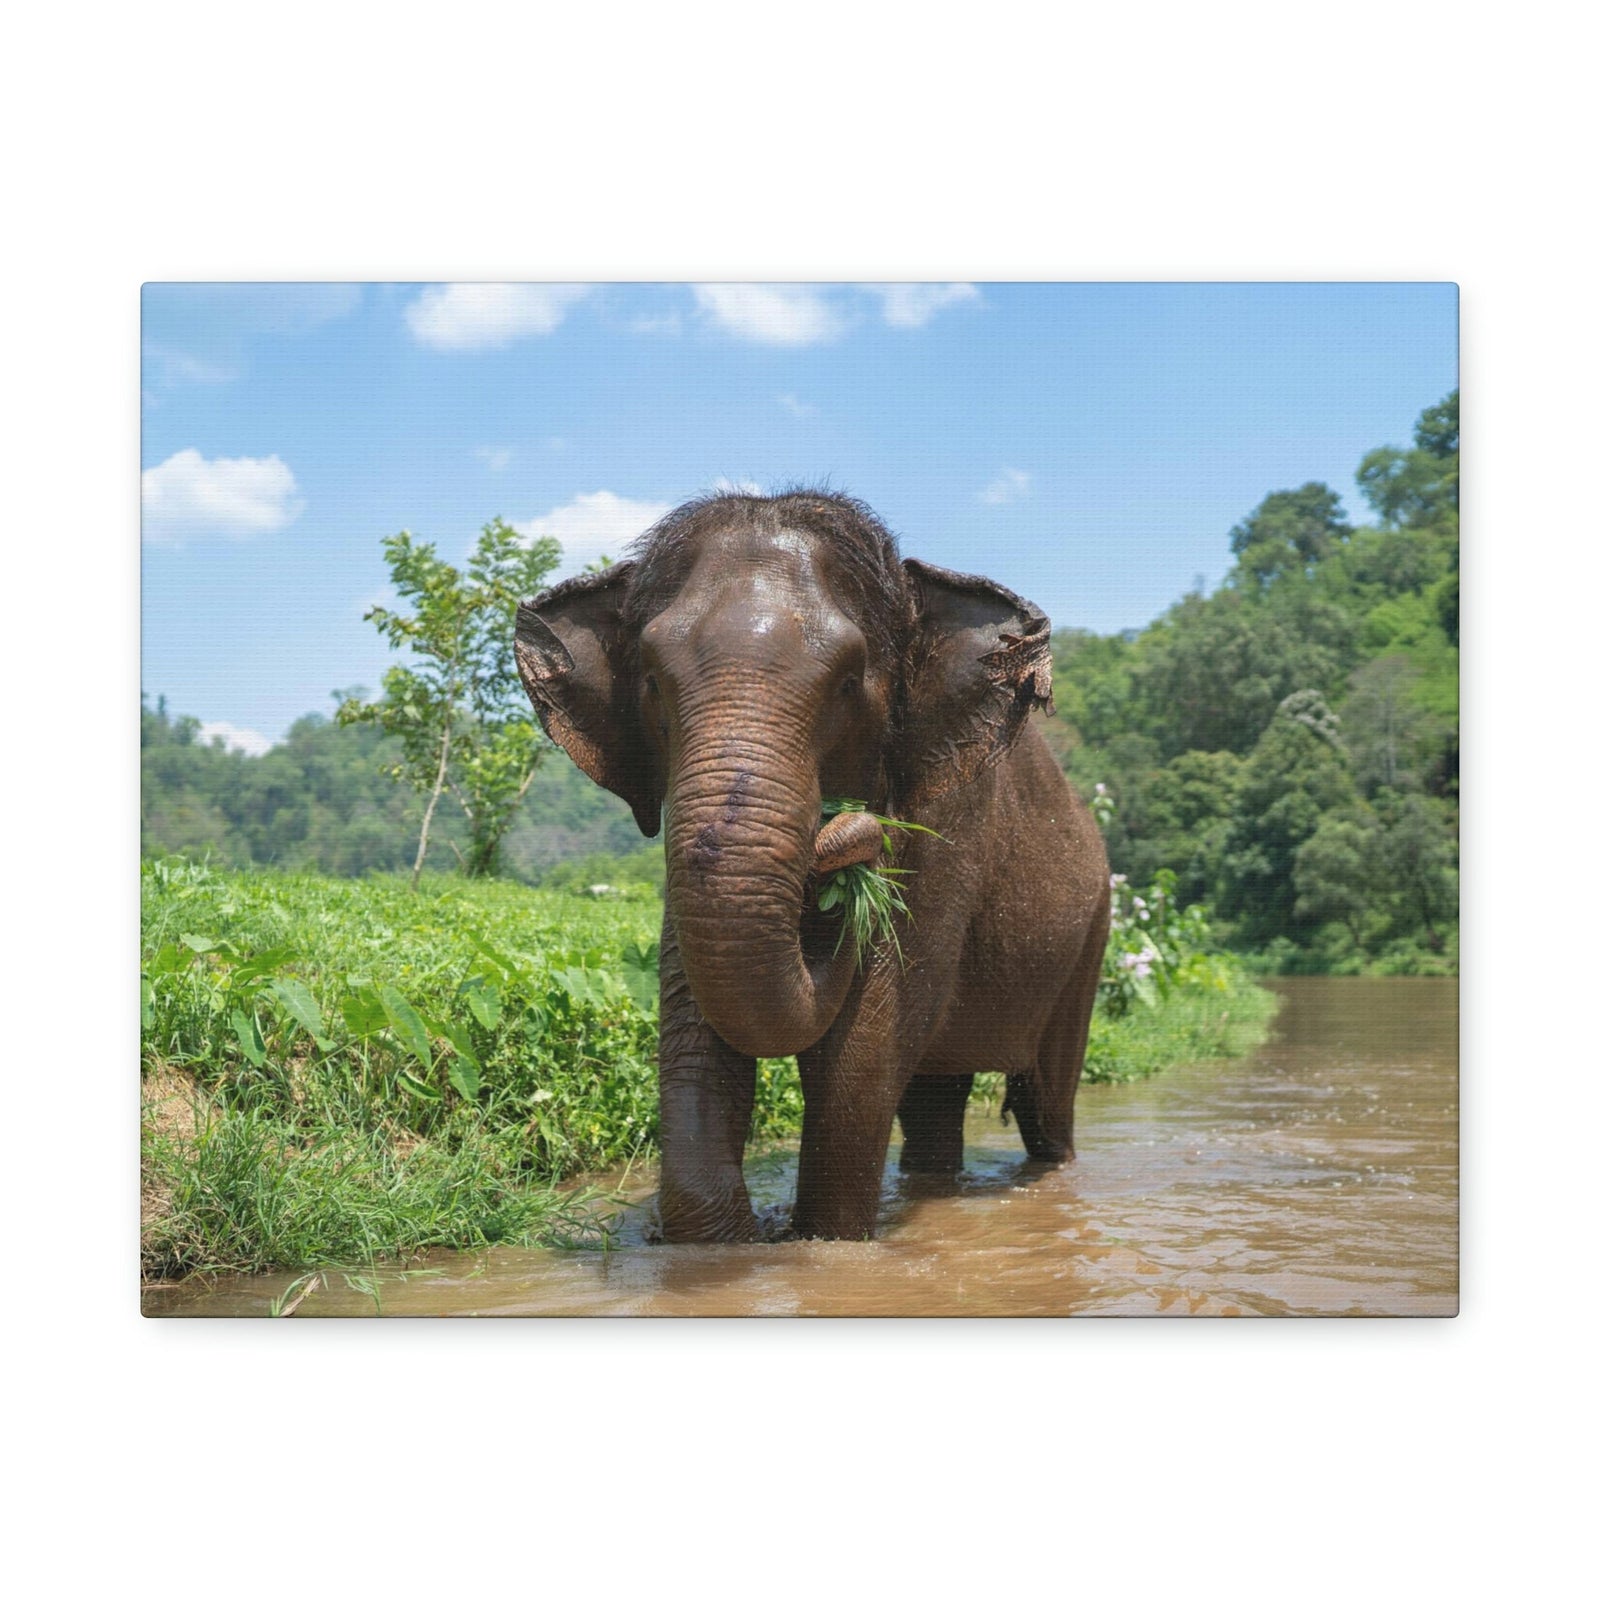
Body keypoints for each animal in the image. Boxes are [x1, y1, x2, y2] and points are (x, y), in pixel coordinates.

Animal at [515, 489, 1110, 1241]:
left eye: (850, 682)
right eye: (650, 680)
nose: (846, 832)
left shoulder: (949, 831)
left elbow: (862, 1052)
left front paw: (822, 1243)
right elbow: (698, 1032)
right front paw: (731, 1242)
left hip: (1090, 936)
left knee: (1046, 1101)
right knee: (934, 1100)